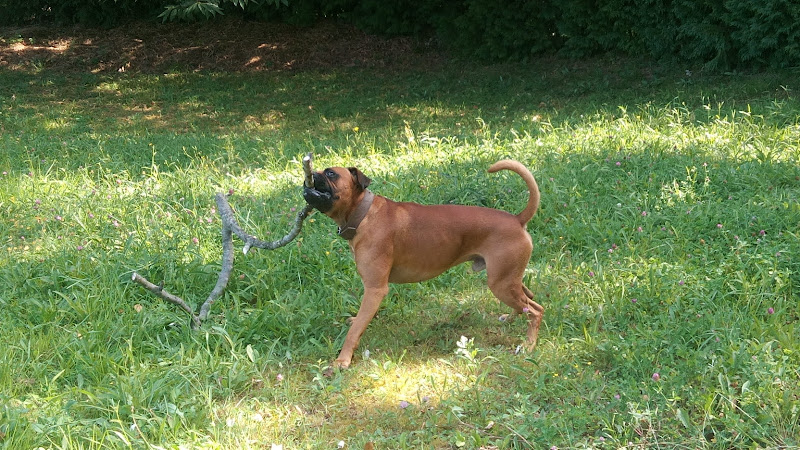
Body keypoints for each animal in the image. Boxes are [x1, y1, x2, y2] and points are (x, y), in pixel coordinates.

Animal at [302, 160, 544, 370]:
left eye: (331, 173)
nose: (308, 176)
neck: (364, 214)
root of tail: (517, 219)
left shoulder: (375, 289)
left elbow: (354, 332)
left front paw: (342, 360)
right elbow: (359, 321)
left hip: (501, 284)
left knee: (536, 310)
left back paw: (529, 345)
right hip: (508, 279)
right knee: (527, 298)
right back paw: (511, 318)